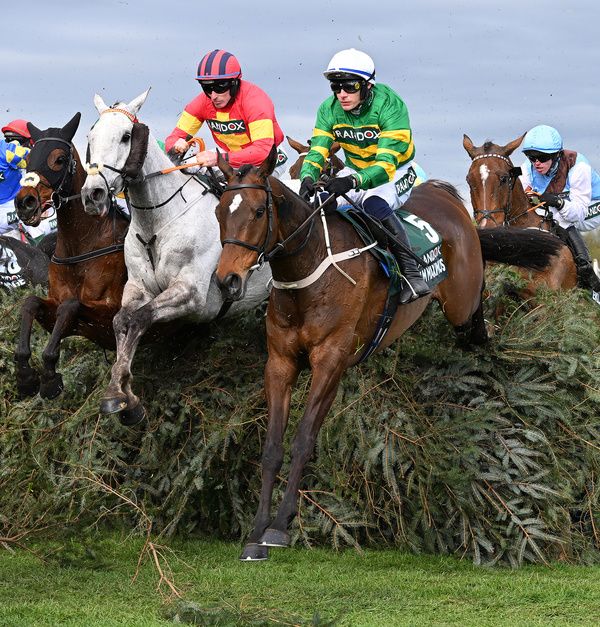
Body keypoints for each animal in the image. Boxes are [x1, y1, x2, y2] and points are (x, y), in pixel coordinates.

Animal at [14, 114, 129, 402]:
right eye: (28, 159)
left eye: (59, 159)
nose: (25, 203)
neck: (82, 245)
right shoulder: (55, 305)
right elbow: (30, 302)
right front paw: (25, 376)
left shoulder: (111, 312)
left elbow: (71, 305)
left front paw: (49, 378)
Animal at [80, 89, 272, 426]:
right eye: (91, 136)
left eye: (126, 136)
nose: (93, 195)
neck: (157, 224)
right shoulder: (138, 288)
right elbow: (121, 321)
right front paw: (122, 395)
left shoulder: (191, 294)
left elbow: (140, 318)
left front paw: (121, 396)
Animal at [211, 148, 564, 564]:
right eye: (219, 211)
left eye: (257, 212)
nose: (227, 281)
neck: (308, 271)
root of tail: (450, 199)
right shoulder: (280, 363)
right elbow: (272, 448)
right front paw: (256, 534)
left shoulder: (330, 361)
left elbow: (302, 440)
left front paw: (280, 527)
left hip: (462, 305)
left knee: (477, 328)